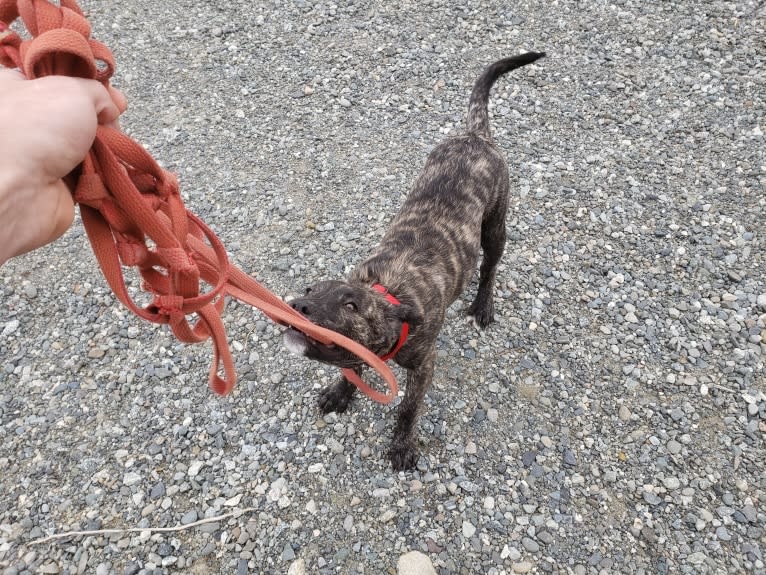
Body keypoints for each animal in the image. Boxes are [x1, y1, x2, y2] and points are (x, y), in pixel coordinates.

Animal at [286, 51, 544, 470]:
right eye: (308, 289)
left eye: (351, 305)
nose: (298, 306)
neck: (386, 291)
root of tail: (475, 135)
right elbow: (350, 368)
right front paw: (340, 392)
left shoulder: (424, 366)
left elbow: (408, 407)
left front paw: (403, 445)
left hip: (495, 226)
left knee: (489, 268)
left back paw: (483, 305)